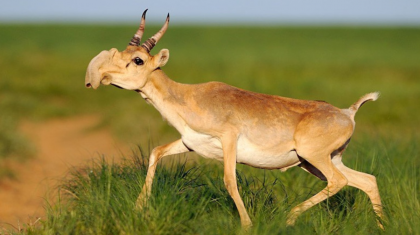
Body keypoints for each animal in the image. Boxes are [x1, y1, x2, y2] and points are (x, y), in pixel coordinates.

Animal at [85, 10, 384, 229]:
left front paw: (247, 225)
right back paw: (381, 226)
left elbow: (230, 180)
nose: (100, 76)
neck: (189, 96)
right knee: (366, 180)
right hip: (318, 162)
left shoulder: (228, 139)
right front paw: (139, 208)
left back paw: (289, 217)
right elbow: (156, 152)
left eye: (137, 60)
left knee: (339, 182)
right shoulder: (190, 143)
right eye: (121, 53)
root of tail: (347, 113)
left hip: (314, 158)